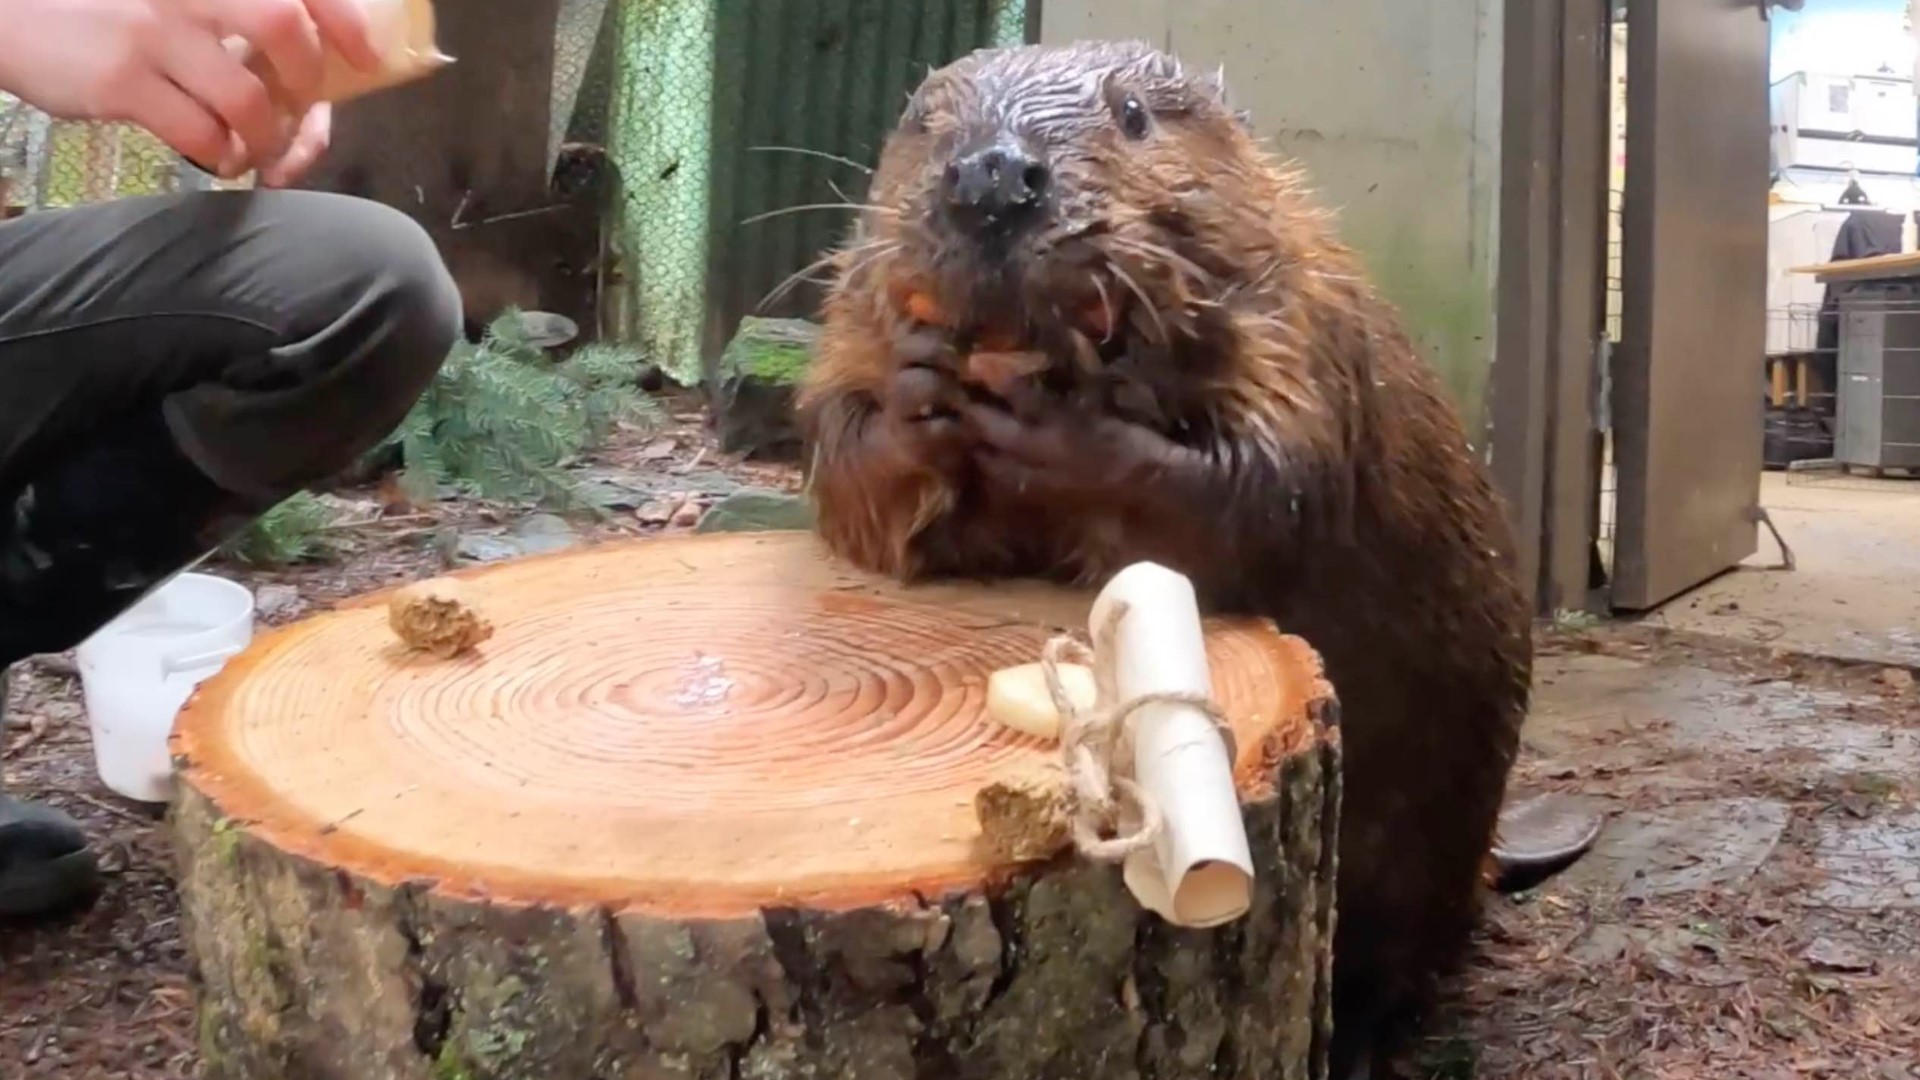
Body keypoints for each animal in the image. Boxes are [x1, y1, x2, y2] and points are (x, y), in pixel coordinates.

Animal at [791, 37, 1574, 1068]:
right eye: (922, 120)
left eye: (1132, 116)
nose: (991, 176)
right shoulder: (851, 318)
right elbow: (843, 459)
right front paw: (922, 389)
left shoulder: (1301, 322)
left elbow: (1266, 482)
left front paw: (1059, 419)